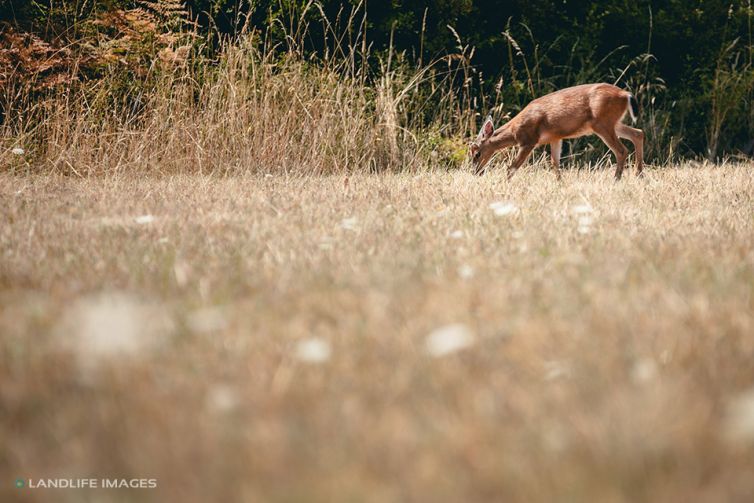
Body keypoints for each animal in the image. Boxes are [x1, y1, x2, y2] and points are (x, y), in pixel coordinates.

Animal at [468, 84, 644, 181]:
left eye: (476, 153)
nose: (475, 172)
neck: (514, 131)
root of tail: (625, 94)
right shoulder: (555, 137)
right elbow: (555, 164)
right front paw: (561, 184)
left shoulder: (528, 140)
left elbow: (512, 167)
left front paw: (503, 184)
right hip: (612, 123)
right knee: (638, 133)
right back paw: (639, 175)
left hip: (602, 123)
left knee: (621, 150)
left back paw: (616, 180)